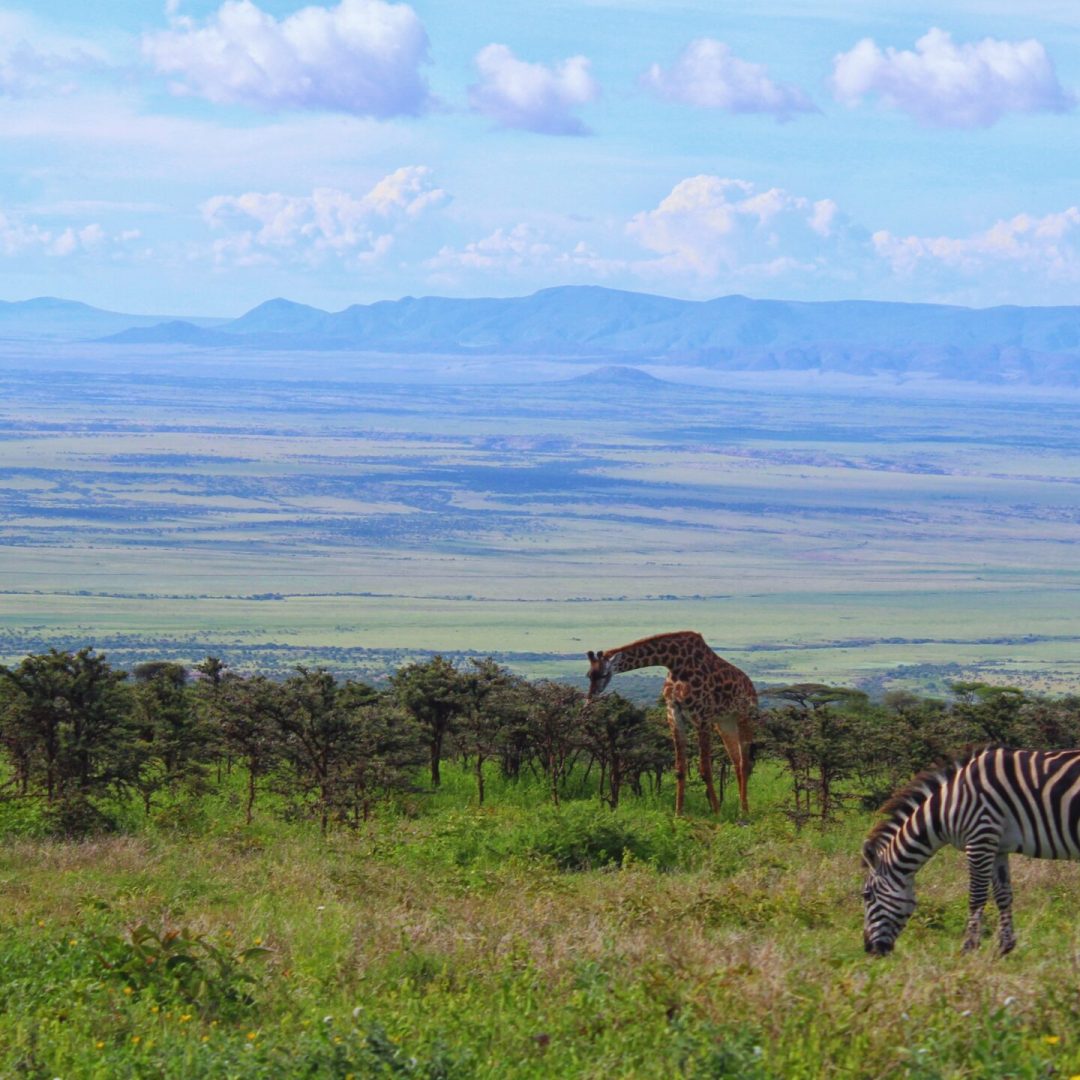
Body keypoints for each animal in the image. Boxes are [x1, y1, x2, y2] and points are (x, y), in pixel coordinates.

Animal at [862, 746, 1080, 956]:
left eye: (867, 895)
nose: (868, 950)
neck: (948, 806)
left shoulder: (980, 838)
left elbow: (976, 897)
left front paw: (969, 947)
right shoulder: (997, 847)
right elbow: (1003, 895)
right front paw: (1005, 946)